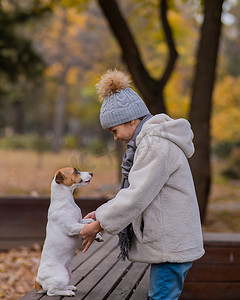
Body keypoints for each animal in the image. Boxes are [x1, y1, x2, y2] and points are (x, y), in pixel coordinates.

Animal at [35, 168, 102, 296]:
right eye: (75, 171)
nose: (91, 173)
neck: (66, 202)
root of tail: (38, 282)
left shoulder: (79, 220)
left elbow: (90, 221)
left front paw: (98, 236)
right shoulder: (72, 227)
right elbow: (84, 227)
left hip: (68, 273)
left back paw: (69, 287)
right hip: (62, 276)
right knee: (51, 291)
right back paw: (67, 292)